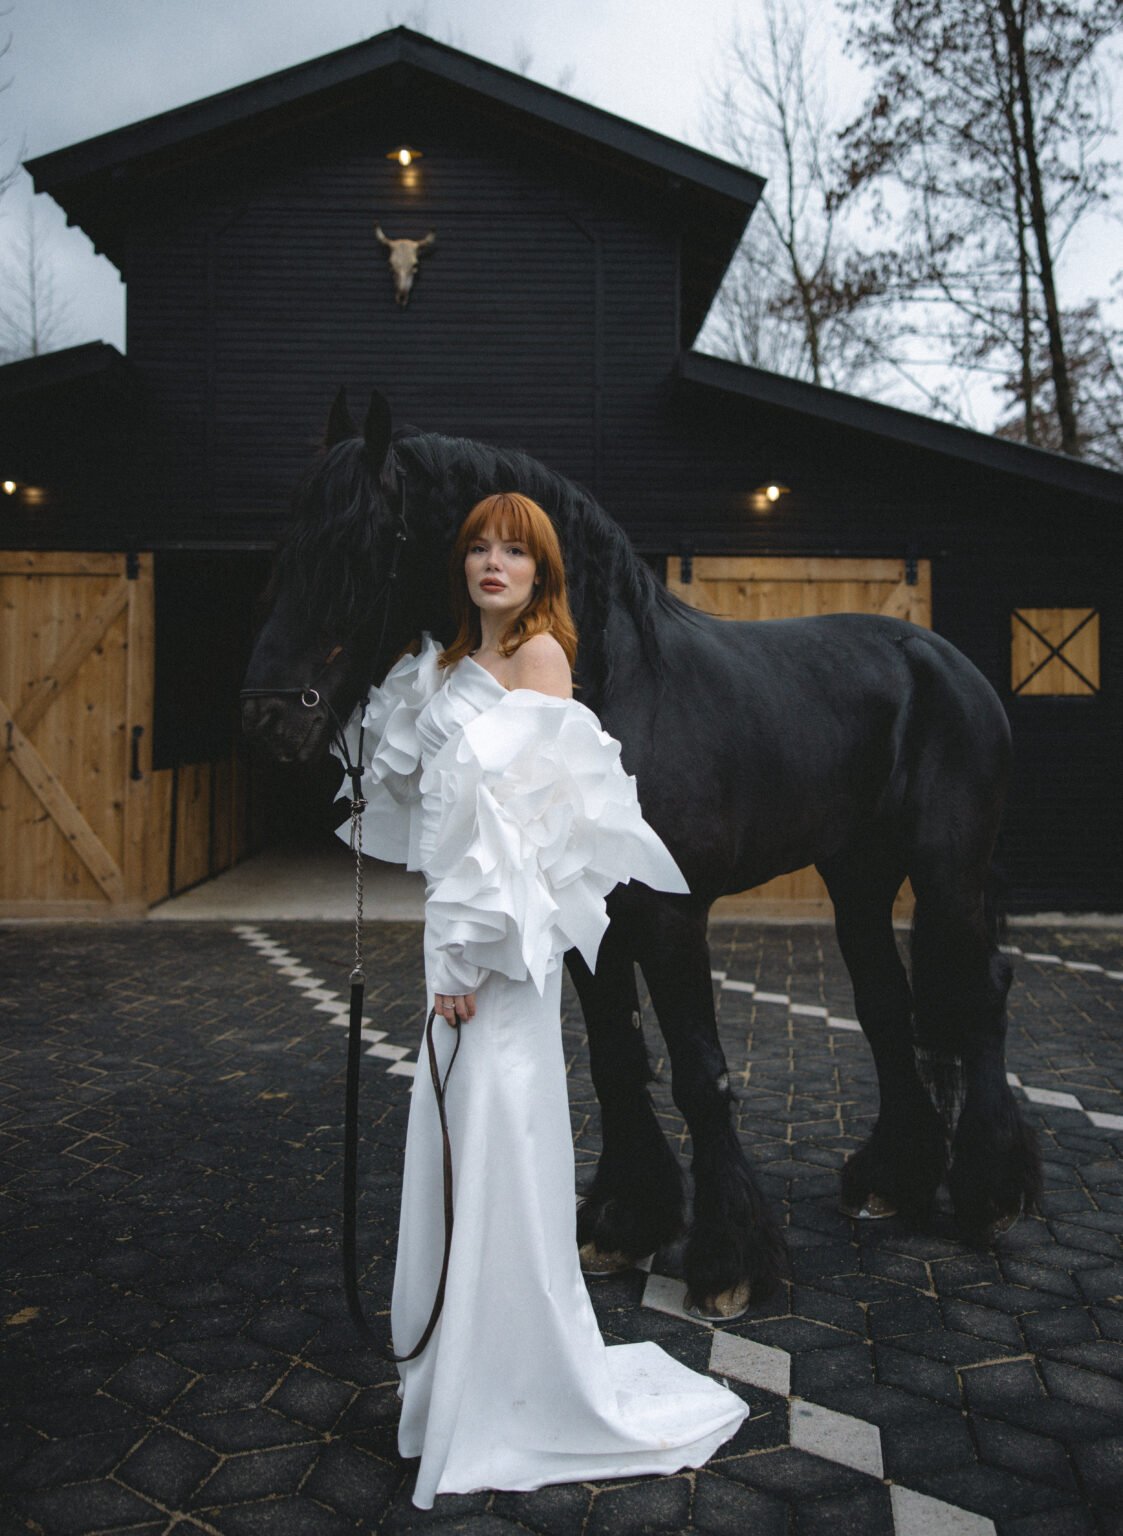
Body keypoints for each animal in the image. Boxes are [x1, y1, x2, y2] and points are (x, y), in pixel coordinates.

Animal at [241, 388, 1041, 1319]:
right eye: (285, 547)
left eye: (356, 546)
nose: (267, 717)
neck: (614, 692)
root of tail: (946, 661)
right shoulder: (592, 922)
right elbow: (617, 1061)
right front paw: (624, 1223)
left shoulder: (668, 917)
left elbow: (700, 1073)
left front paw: (727, 1262)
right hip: (859, 879)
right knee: (884, 1004)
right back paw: (890, 1178)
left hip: (946, 874)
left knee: (980, 997)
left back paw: (991, 1194)